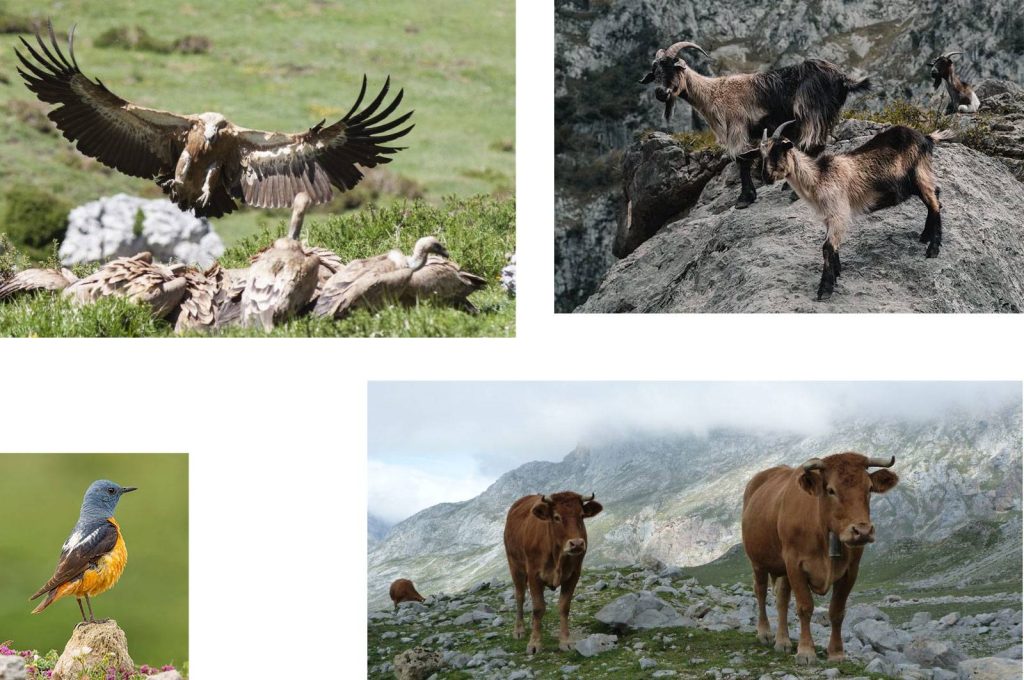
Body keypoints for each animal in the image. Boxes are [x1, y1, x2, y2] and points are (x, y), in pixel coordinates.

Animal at [638, 41, 872, 208]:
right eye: (655, 73)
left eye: (673, 68)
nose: (660, 93)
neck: (714, 93)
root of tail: (842, 78)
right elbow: (747, 158)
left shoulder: (737, 127)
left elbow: (741, 159)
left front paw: (744, 198)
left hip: (811, 111)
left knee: (813, 144)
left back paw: (793, 191)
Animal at [741, 121, 954, 301]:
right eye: (761, 154)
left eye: (778, 150)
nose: (766, 177)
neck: (818, 178)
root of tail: (926, 137)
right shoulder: (829, 217)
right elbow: (831, 246)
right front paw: (837, 272)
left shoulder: (839, 213)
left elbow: (827, 247)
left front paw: (825, 289)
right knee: (935, 199)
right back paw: (925, 236)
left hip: (920, 174)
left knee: (934, 203)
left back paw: (933, 249)